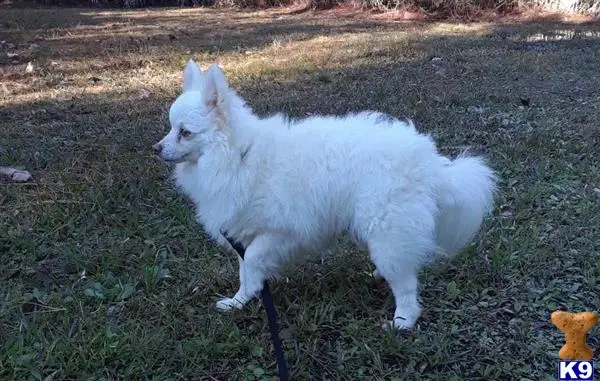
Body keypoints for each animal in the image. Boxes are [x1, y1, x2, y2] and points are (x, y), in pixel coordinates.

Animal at [154, 60, 496, 330]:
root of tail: (430, 164)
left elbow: (252, 261)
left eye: (185, 132)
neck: (239, 156)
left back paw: (403, 320)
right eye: (169, 128)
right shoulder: (245, 232)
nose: (156, 148)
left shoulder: (280, 231)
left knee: (406, 285)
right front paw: (240, 301)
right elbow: (246, 272)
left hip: (388, 228)